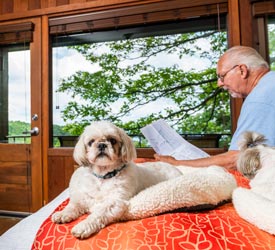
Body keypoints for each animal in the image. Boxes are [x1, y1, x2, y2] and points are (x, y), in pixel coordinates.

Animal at [51, 121, 182, 238]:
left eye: (112, 140)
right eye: (91, 142)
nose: (102, 144)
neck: (104, 176)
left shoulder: (115, 201)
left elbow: (97, 214)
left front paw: (83, 226)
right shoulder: (85, 198)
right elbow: (73, 205)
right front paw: (62, 214)